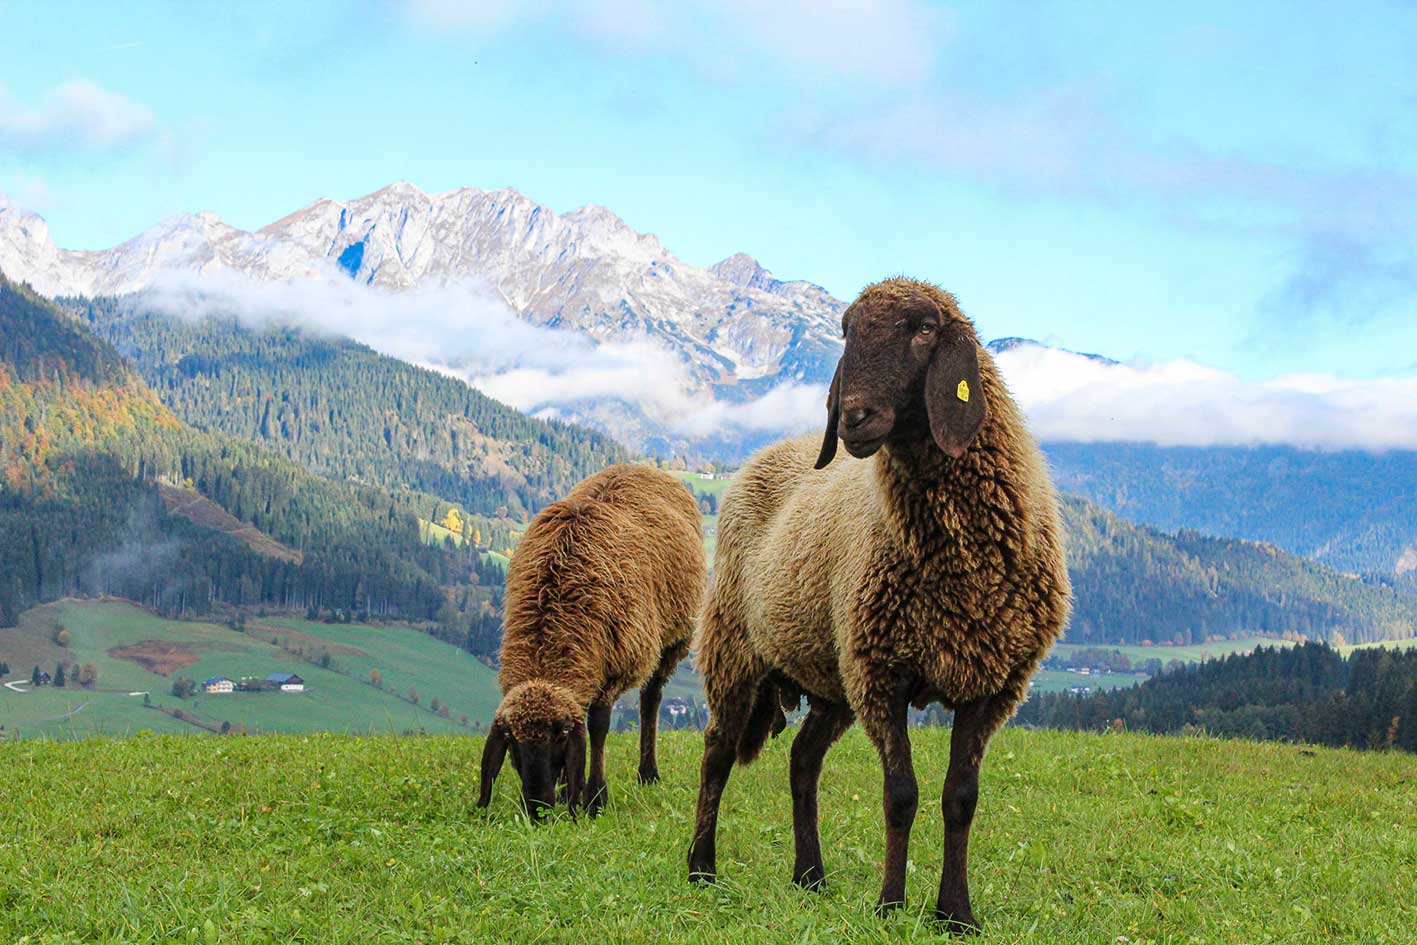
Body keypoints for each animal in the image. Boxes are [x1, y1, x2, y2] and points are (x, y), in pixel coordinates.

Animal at [478, 464, 705, 821]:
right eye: (513, 742)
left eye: (560, 736)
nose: (538, 808)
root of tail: (638, 465)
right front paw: (569, 790)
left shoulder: (615, 666)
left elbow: (597, 728)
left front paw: (595, 797)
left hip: (674, 638)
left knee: (651, 699)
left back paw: (648, 772)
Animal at [688, 274, 1071, 929]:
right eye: (846, 332)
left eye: (924, 329)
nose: (853, 417)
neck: (956, 560)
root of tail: (767, 453)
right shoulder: (882, 675)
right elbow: (901, 795)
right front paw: (891, 905)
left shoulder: (991, 681)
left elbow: (960, 798)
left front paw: (955, 913)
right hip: (735, 646)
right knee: (716, 753)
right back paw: (700, 868)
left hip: (830, 674)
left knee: (802, 760)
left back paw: (810, 876)